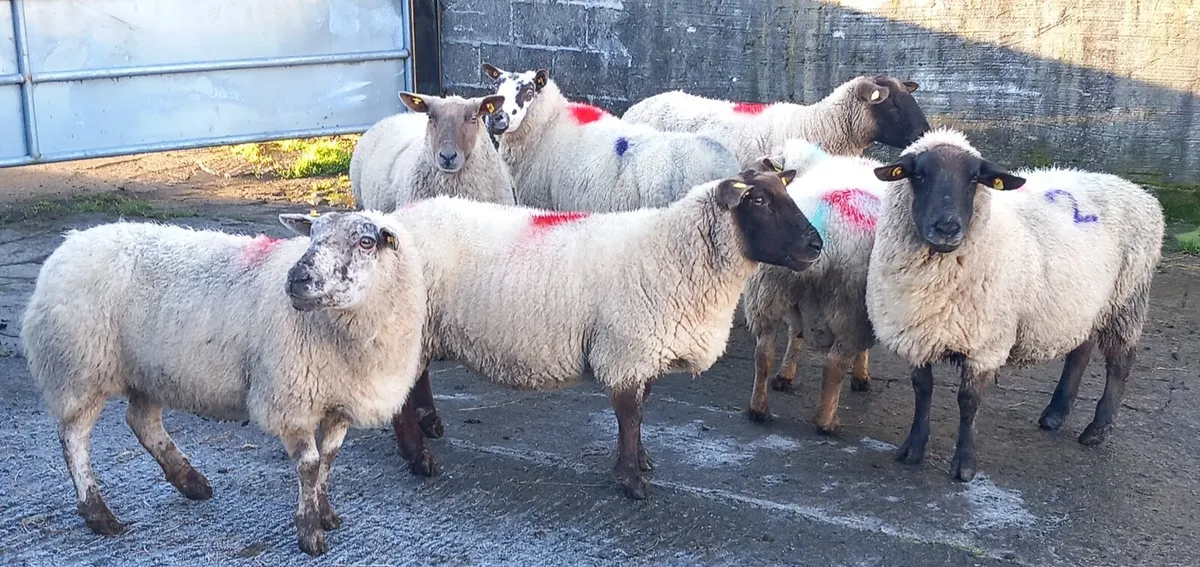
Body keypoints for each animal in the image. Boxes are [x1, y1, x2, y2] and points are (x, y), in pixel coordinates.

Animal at [21, 211, 427, 556]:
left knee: (142, 422)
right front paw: (309, 531)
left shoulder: (339, 399)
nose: (297, 280)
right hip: (79, 369)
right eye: (311, 235)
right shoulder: (289, 399)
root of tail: (69, 244)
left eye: (366, 242)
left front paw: (326, 514)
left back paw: (190, 481)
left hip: (149, 372)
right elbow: (310, 466)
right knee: (74, 439)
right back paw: (98, 514)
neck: (340, 332)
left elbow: (328, 459)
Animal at [388, 169, 824, 500]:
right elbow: (630, 416)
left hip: (425, 326)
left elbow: (641, 410)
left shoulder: (644, 352)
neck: (674, 251)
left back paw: (429, 425)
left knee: (418, 377)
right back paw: (417, 457)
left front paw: (639, 460)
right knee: (403, 391)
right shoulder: (626, 350)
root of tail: (396, 222)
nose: (816, 244)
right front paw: (631, 481)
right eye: (759, 201)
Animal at [741, 142, 886, 434]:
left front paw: (786, 374)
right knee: (835, 363)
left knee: (763, 352)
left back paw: (759, 408)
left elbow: (796, 333)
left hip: (767, 289)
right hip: (850, 299)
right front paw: (862, 376)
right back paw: (827, 422)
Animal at [866, 127, 1164, 482]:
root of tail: (1138, 191)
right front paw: (912, 449)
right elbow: (922, 390)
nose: (947, 228)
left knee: (1120, 364)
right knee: (1081, 350)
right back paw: (1055, 414)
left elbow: (968, 401)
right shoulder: (916, 333)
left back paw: (1097, 429)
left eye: (974, 178)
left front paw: (964, 465)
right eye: (919, 175)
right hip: (1083, 301)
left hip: (1126, 298)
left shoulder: (985, 342)